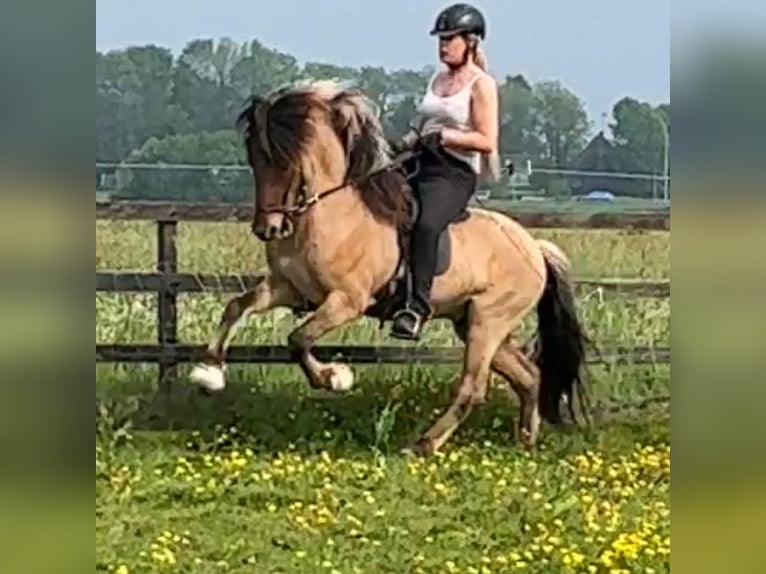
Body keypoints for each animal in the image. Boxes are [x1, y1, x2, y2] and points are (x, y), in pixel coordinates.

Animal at [189, 79, 592, 456]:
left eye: (285, 158)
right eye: (254, 158)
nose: (268, 229)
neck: (332, 215)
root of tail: (534, 247)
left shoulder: (347, 301)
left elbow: (298, 339)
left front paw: (334, 377)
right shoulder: (288, 288)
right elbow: (237, 307)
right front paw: (209, 373)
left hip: (489, 322)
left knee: (473, 387)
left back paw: (423, 445)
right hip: (474, 322)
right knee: (529, 376)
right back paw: (525, 441)